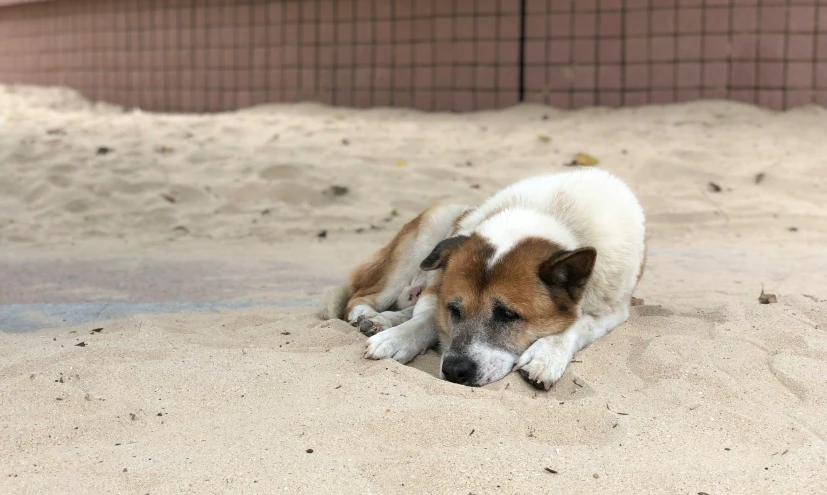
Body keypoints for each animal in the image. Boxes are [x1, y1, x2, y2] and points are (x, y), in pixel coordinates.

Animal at [316, 169, 648, 390]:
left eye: (508, 315)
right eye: (454, 309)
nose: (455, 371)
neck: (554, 217)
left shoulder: (614, 310)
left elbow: (577, 324)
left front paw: (547, 354)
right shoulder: (437, 288)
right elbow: (426, 319)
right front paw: (397, 337)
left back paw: (381, 320)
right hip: (427, 235)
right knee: (361, 296)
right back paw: (370, 316)